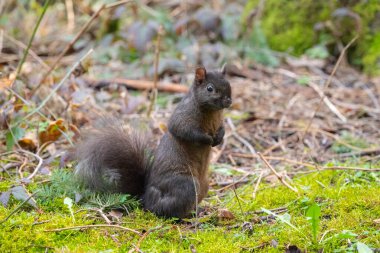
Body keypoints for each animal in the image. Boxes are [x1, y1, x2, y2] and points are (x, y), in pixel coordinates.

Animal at [75, 66, 232, 218]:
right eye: (210, 88)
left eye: (228, 83)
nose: (229, 100)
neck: (212, 111)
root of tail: (144, 198)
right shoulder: (183, 116)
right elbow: (185, 131)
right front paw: (208, 139)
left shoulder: (219, 121)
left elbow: (222, 129)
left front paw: (219, 138)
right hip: (186, 185)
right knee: (165, 211)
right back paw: (188, 216)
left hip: (204, 185)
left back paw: (198, 210)